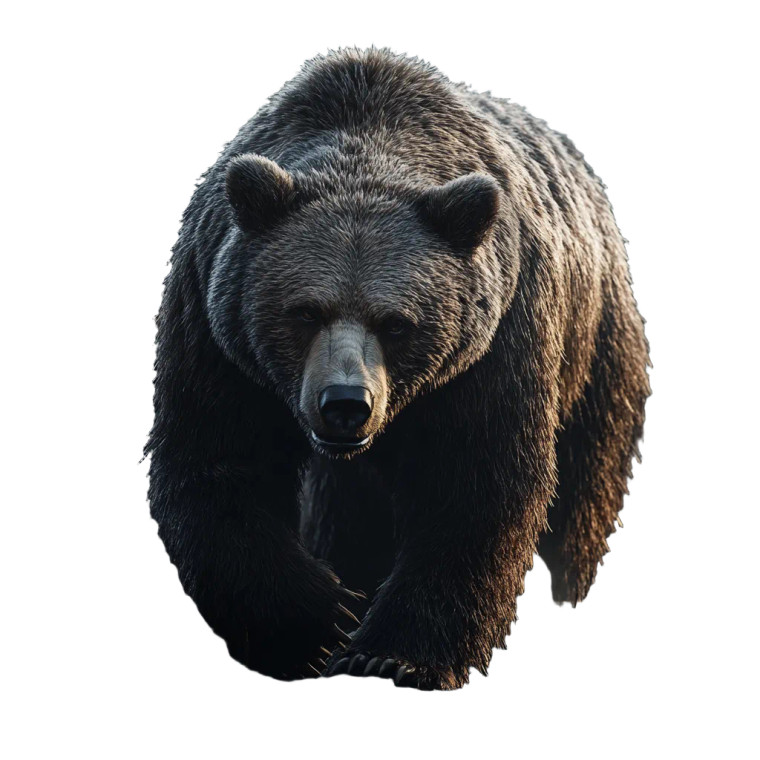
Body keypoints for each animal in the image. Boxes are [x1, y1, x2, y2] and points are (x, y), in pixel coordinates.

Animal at [147, 48, 650, 690]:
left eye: (396, 323)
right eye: (304, 311)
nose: (344, 403)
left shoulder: (496, 344)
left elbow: (476, 484)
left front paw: (392, 654)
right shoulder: (215, 329)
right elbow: (216, 463)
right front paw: (320, 625)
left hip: (597, 354)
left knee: (585, 500)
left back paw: (570, 588)